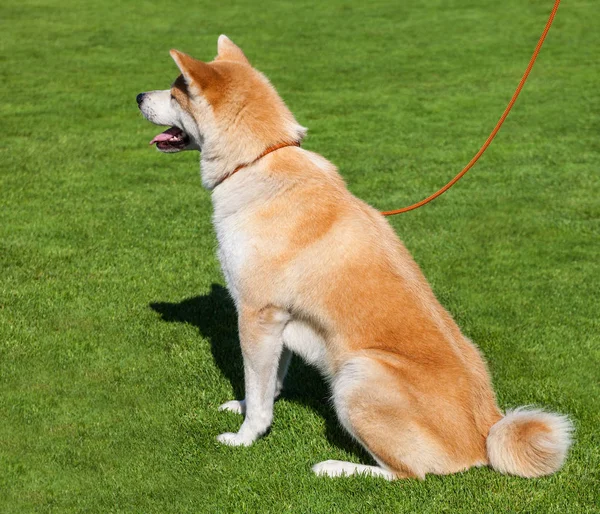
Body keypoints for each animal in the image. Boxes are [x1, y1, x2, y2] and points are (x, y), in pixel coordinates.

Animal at [138, 36, 576, 480]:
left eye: (174, 93)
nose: (138, 96)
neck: (258, 160)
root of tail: (486, 432)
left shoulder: (256, 313)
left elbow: (257, 389)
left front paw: (245, 437)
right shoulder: (278, 322)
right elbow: (268, 383)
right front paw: (244, 405)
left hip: (358, 373)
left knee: (409, 475)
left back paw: (335, 467)